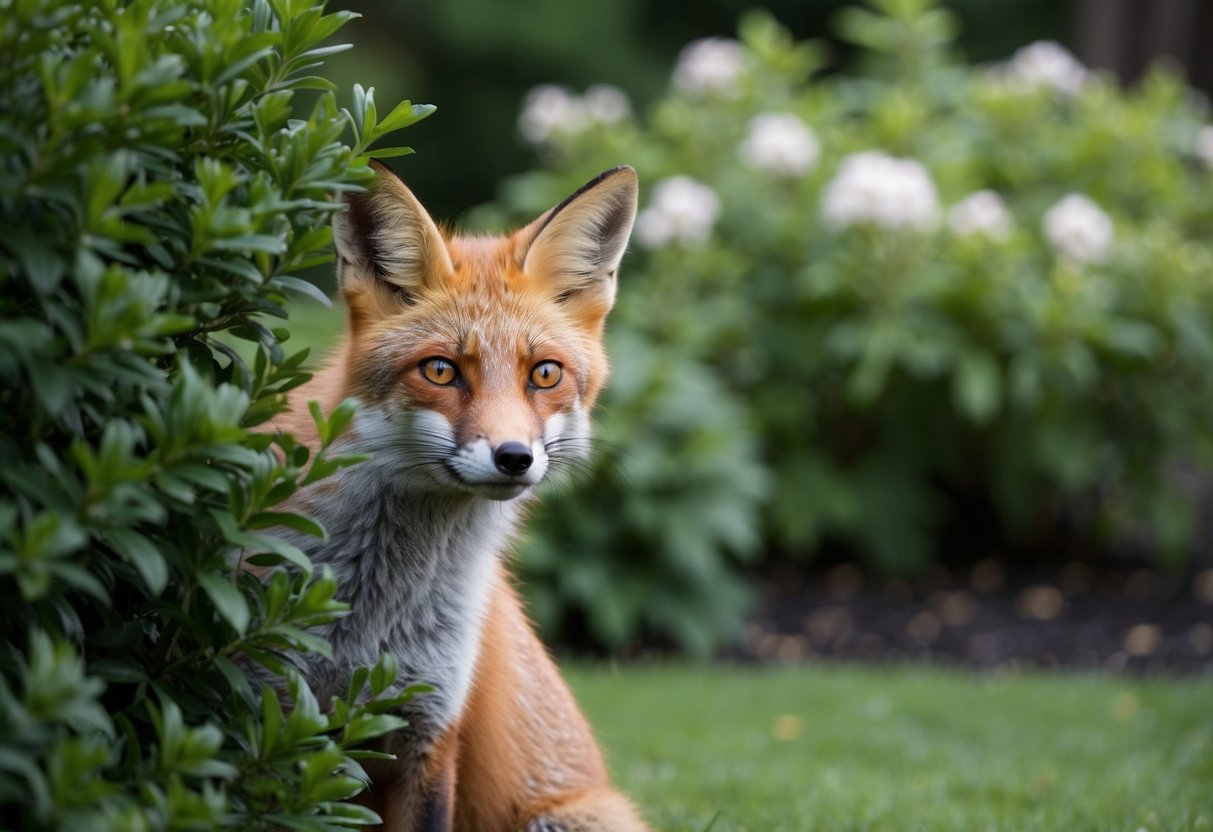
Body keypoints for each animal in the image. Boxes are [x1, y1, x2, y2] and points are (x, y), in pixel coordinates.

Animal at [269, 161, 648, 832]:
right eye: (441, 370)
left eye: (544, 374)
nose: (514, 456)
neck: (373, 620)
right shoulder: (270, 712)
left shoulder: (432, 731)